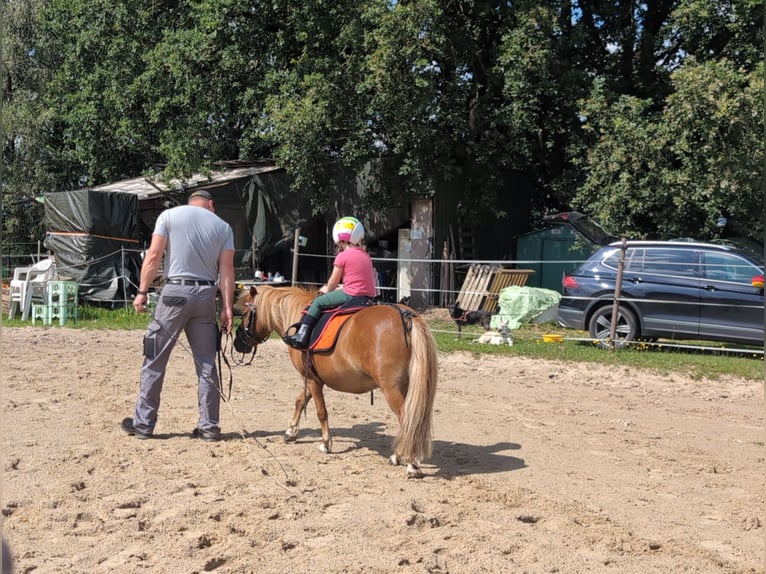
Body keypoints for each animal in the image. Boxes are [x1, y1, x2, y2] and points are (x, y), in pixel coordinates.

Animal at [234, 286, 438, 480]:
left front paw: (325, 443)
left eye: (245, 314)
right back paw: (399, 455)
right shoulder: (313, 379)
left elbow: (320, 411)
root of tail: (406, 316)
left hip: (391, 389)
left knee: (408, 420)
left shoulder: (312, 380)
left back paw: (411, 463)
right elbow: (300, 401)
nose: (237, 343)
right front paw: (291, 431)